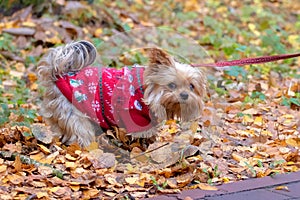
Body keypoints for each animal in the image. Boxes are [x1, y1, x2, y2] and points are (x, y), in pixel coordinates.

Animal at [37, 40, 206, 147]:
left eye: (191, 86)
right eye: (172, 85)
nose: (184, 95)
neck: (146, 92)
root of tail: (58, 75)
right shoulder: (136, 117)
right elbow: (141, 134)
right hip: (75, 113)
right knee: (80, 134)